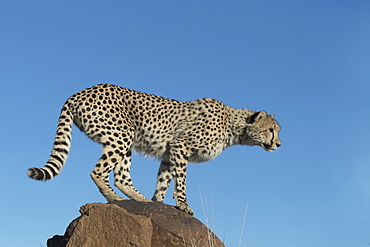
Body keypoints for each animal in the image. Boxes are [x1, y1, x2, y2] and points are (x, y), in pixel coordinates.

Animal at [28, 84, 280, 215]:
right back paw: (114, 199)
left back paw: (141, 201)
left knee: (121, 177)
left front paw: (158, 203)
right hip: (122, 135)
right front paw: (184, 206)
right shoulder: (181, 146)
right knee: (98, 172)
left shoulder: (170, 153)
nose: (279, 144)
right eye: (271, 130)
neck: (234, 126)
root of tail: (79, 92)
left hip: (125, 141)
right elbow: (181, 182)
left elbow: (163, 182)